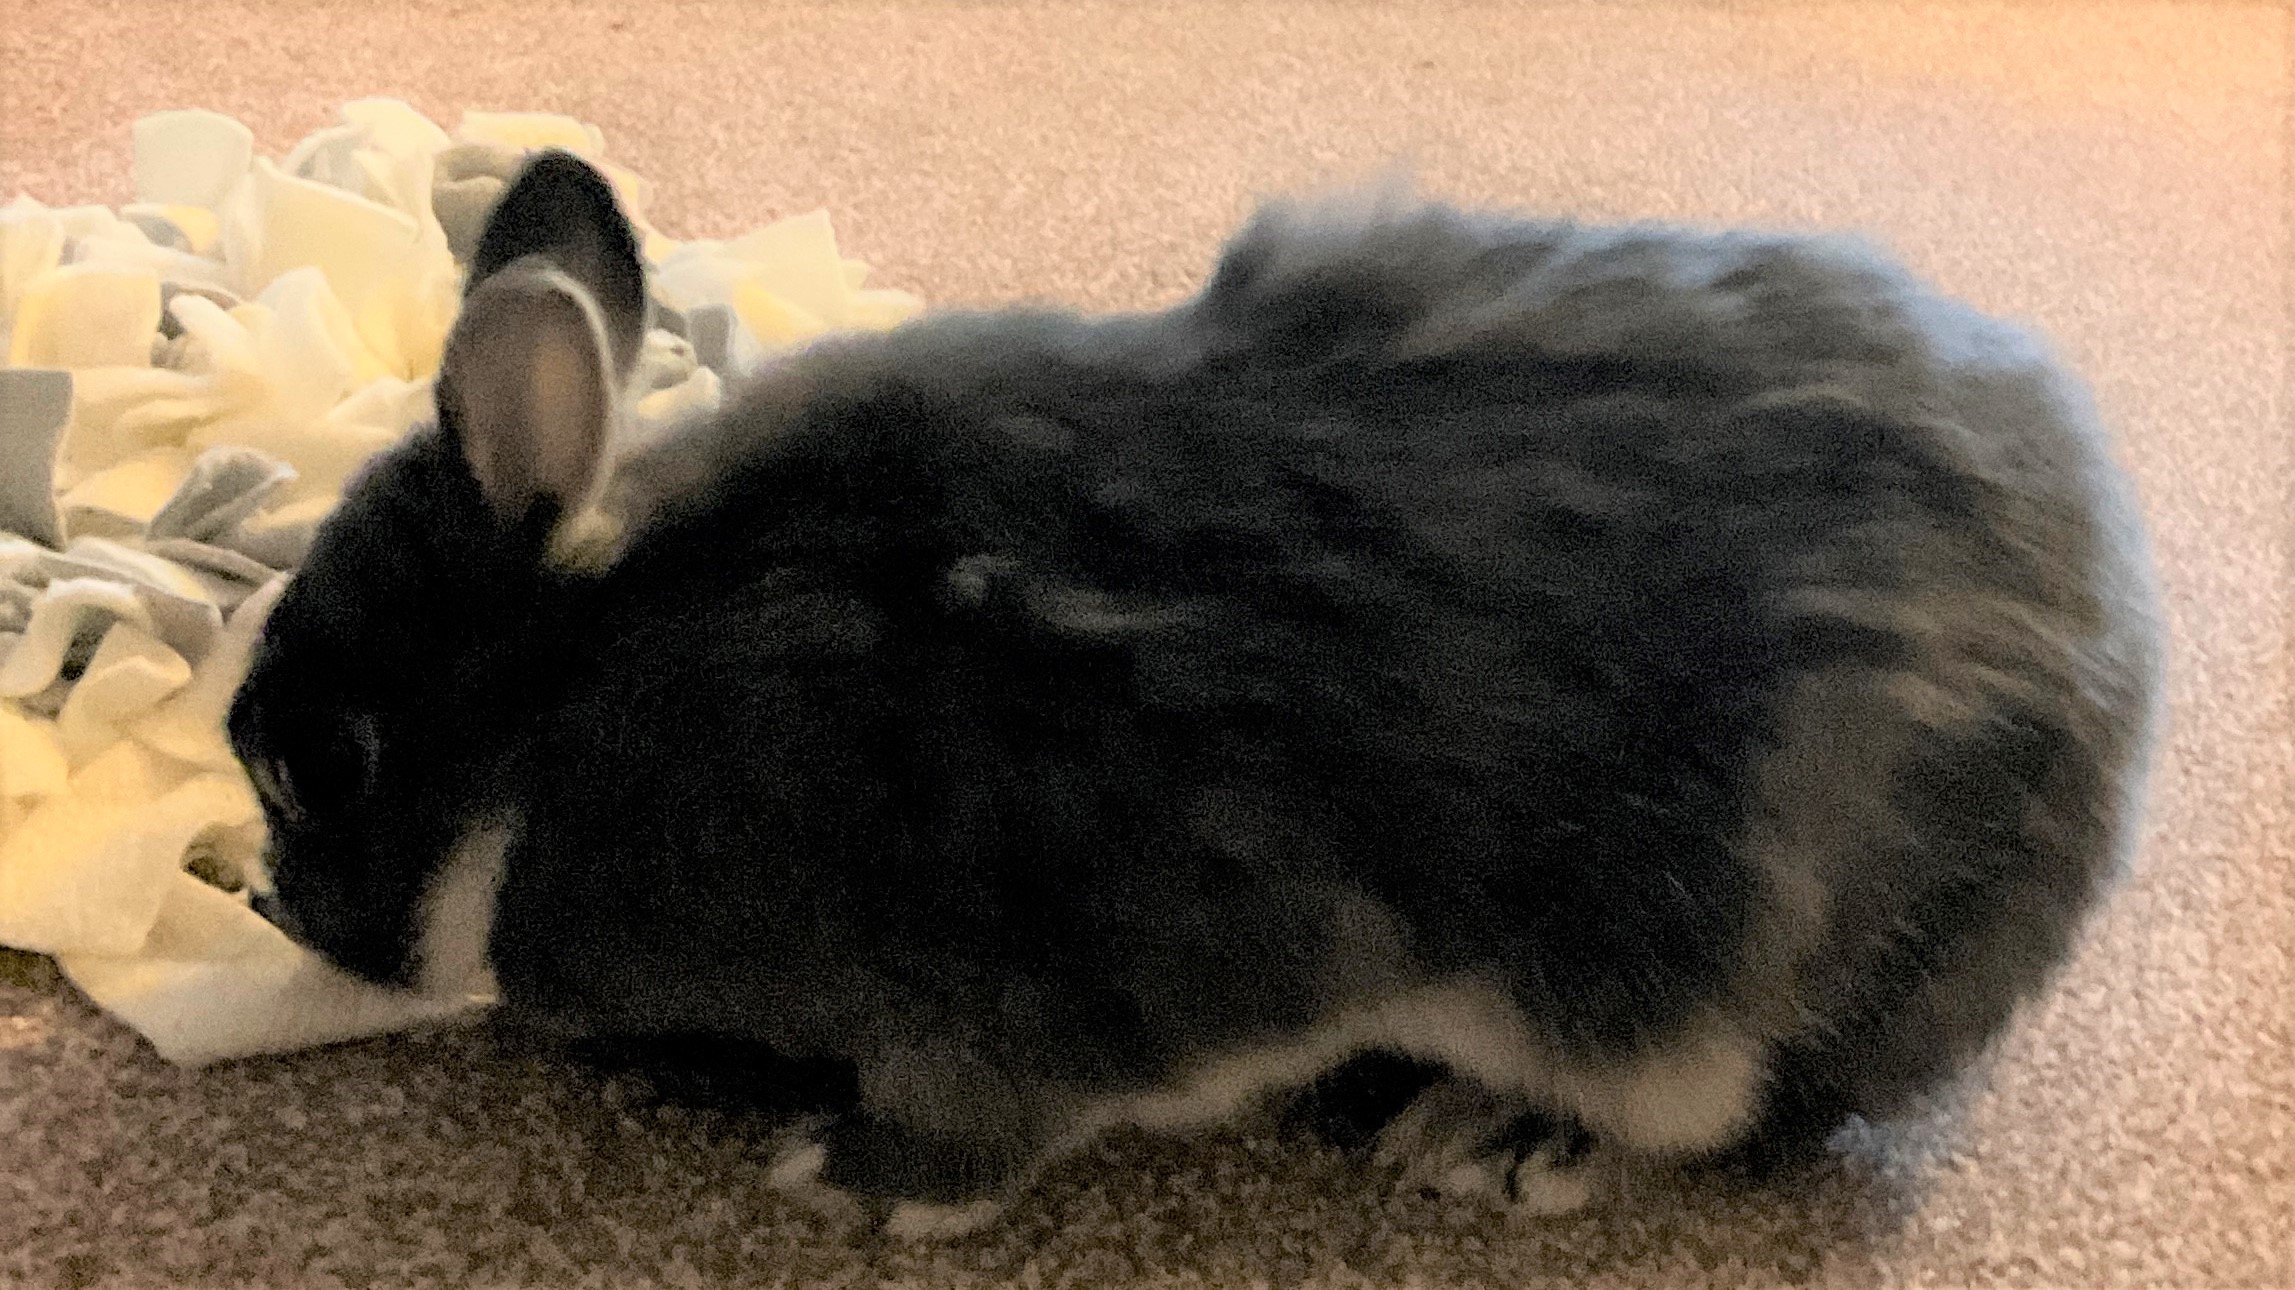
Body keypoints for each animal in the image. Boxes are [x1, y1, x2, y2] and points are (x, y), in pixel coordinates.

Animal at [227, 150, 2162, 1239]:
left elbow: (985, 1118)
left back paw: (1494, 1131)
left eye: (321, 763)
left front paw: (845, 1178)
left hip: (1728, 988)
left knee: (1727, 1114)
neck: (579, 699)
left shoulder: (1054, 967)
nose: (288, 913)